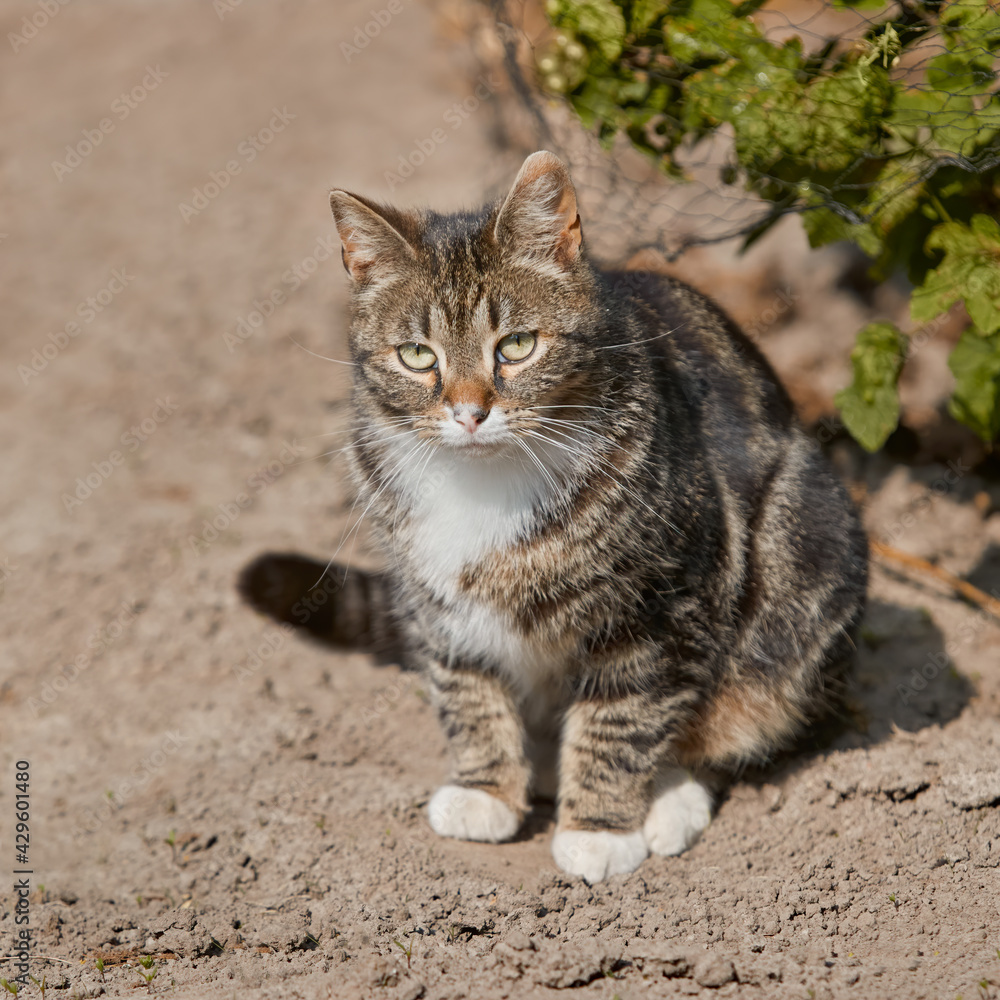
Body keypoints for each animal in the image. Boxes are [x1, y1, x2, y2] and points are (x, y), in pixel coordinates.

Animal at [242, 150, 868, 884]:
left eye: (515, 346)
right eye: (418, 355)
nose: (468, 411)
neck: (485, 480)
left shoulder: (663, 606)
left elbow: (626, 714)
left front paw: (598, 828)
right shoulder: (435, 595)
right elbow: (466, 684)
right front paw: (487, 789)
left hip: (804, 548)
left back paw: (667, 796)